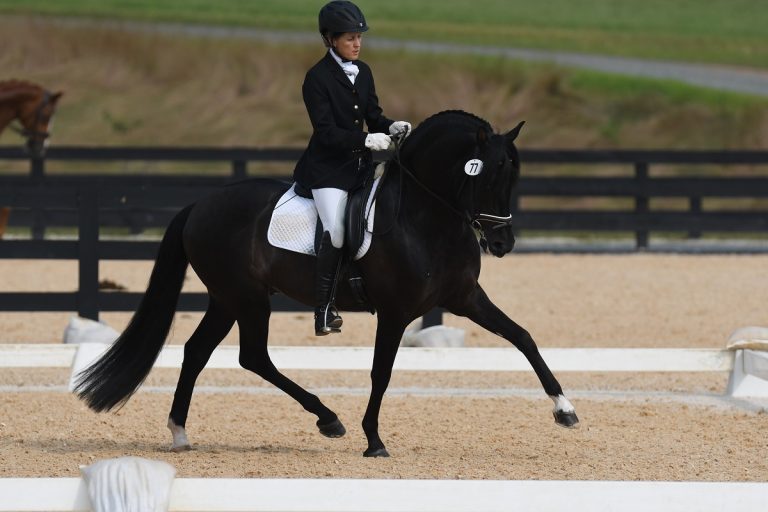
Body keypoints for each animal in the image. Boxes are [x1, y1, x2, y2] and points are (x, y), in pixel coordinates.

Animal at [74, 110, 579, 458]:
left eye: (512, 175)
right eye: (485, 174)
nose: (502, 242)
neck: (424, 218)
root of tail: (199, 204)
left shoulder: (466, 298)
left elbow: (523, 337)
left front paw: (565, 409)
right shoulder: (395, 312)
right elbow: (381, 372)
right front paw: (373, 439)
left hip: (226, 299)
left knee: (198, 352)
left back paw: (180, 431)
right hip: (247, 298)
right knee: (253, 356)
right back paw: (329, 419)